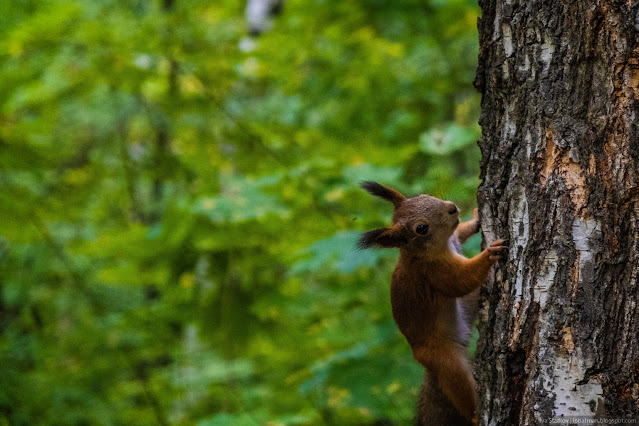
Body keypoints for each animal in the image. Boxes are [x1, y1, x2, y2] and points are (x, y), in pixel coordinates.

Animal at [358, 181, 508, 424]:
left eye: (424, 196)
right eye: (421, 228)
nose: (452, 208)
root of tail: (422, 361)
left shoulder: (454, 239)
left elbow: (460, 232)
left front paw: (475, 218)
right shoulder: (434, 273)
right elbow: (460, 281)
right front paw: (489, 253)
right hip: (444, 359)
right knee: (460, 387)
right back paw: (475, 415)